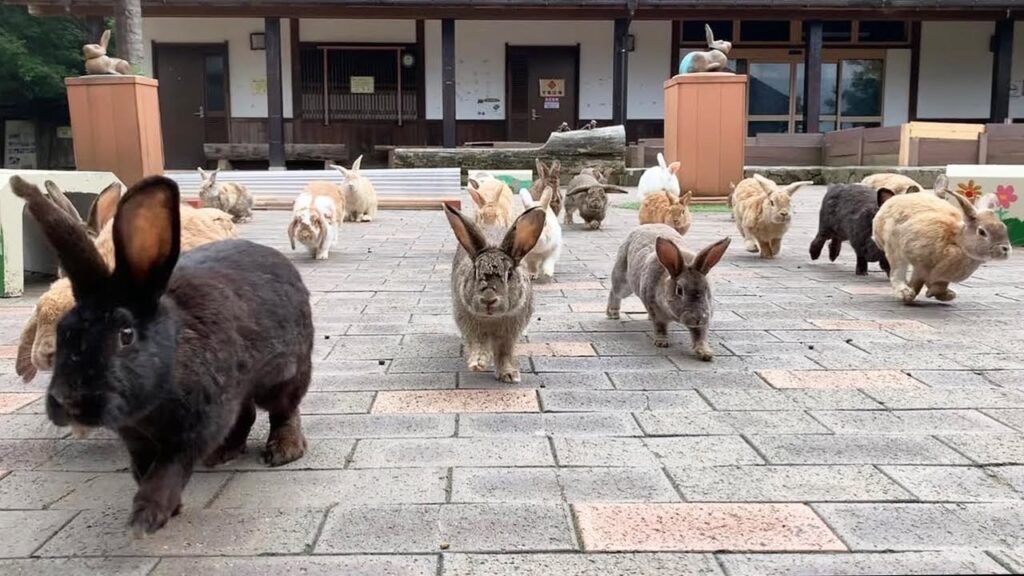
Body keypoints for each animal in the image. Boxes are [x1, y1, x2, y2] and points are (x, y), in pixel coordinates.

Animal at [10, 174, 312, 536]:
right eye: (64, 330)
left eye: (126, 335)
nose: (66, 402)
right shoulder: (136, 438)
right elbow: (142, 469)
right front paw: (166, 509)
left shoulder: (192, 429)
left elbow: (167, 471)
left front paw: (147, 517)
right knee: (247, 413)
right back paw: (223, 453)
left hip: (284, 374)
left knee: (283, 409)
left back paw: (283, 450)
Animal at [445, 204, 546, 383]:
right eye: (475, 271)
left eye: (509, 273)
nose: (488, 300)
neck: (492, 318)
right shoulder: (471, 327)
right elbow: (478, 344)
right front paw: (478, 363)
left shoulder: (509, 335)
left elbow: (504, 353)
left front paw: (509, 375)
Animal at [606, 224, 731, 361]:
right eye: (679, 290)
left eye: (706, 288)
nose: (698, 318)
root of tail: (645, 226)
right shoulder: (656, 311)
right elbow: (660, 327)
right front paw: (661, 342)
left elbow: (700, 335)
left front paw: (706, 353)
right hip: (623, 281)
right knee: (615, 292)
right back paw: (613, 313)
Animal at [873, 175, 1012, 304]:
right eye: (982, 232)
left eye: (1004, 228)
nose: (1005, 249)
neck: (956, 241)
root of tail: (892, 201)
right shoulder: (921, 265)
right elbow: (916, 281)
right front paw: (911, 295)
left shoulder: (941, 277)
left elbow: (939, 285)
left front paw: (940, 294)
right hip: (894, 248)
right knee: (897, 271)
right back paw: (905, 292)